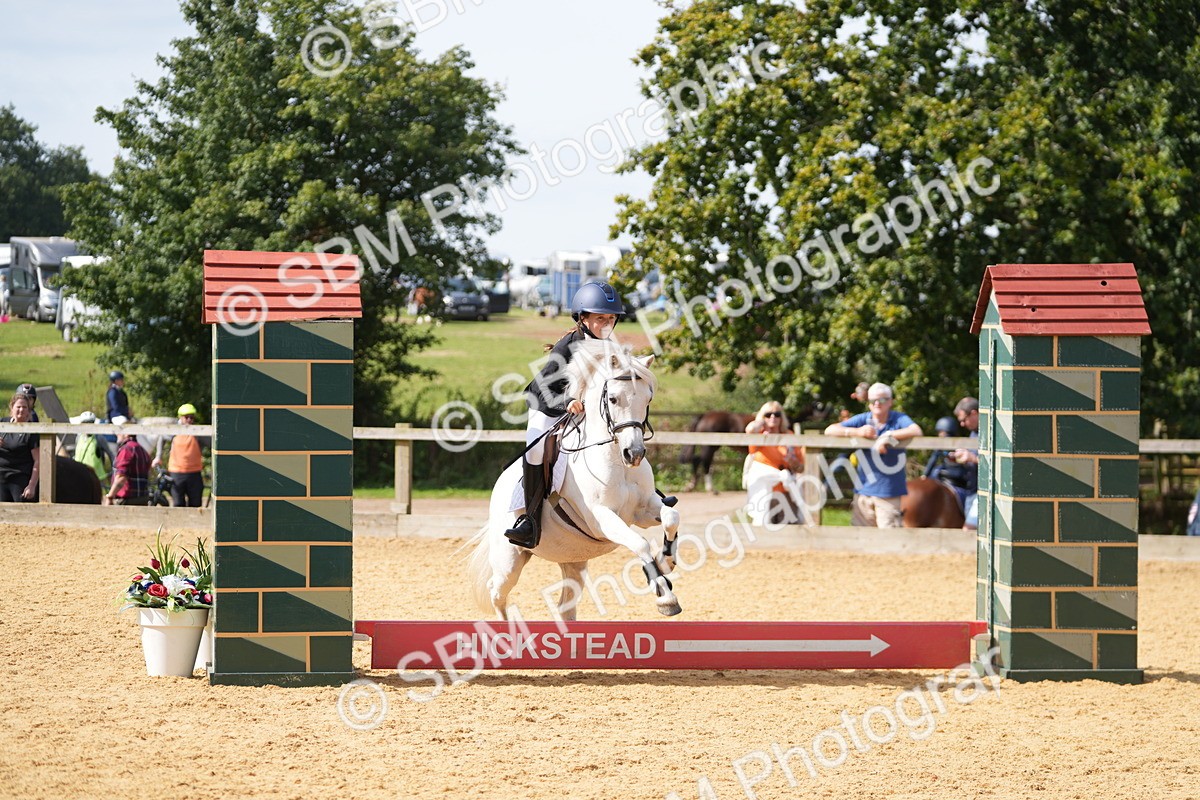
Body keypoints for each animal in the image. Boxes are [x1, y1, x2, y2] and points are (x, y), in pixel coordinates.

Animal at [467, 339, 682, 620]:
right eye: (613, 398)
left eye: (648, 398)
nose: (634, 454)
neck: (615, 457)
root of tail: (500, 484)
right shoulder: (602, 518)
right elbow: (641, 544)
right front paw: (665, 597)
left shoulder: (642, 510)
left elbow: (671, 517)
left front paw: (666, 561)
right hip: (509, 561)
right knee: (497, 592)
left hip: (573, 560)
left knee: (564, 606)